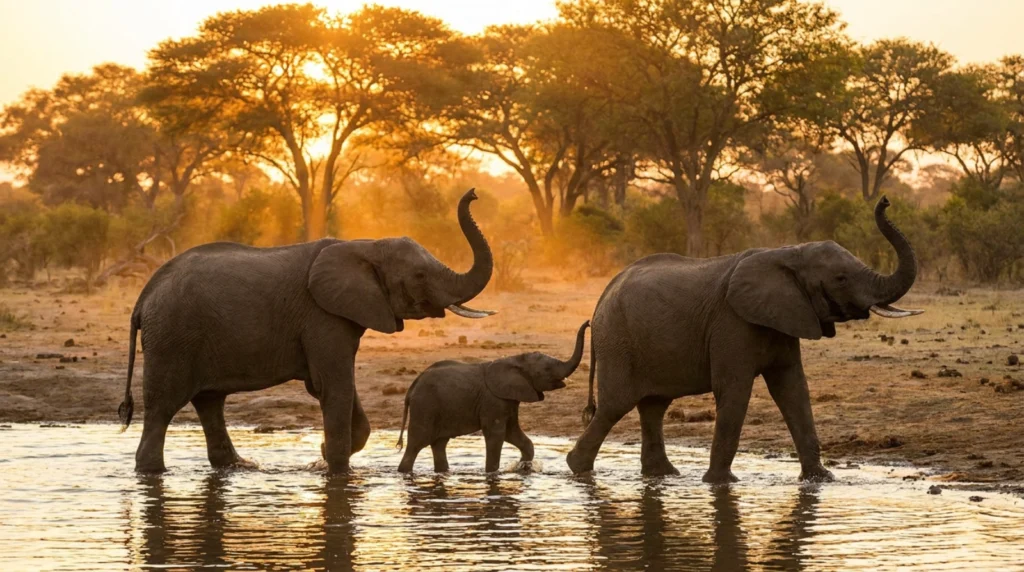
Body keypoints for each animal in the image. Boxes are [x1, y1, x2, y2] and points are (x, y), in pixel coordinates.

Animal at [118, 189, 494, 474]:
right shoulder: (322, 316)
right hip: (171, 338)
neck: (365, 246)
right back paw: (153, 472)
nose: (474, 194)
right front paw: (337, 472)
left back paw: (239, 467)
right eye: (419, 276)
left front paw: (323, 456)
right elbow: (335, 386)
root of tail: (143, 297)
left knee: (210, 403)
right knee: (163, 406)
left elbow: (332, 386)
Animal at [396, 321, 590, 473]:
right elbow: (497, 435)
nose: (588, 323)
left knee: (439, 444)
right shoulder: (494, 400)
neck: (515, 359)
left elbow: (513, 433)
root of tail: (412, 386)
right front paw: (493, 474)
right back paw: (404, 472)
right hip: (424, 406)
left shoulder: (509, 399)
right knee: (416, 444)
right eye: (546, 370)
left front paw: (523, 468)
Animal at [566, 197, 921, 483]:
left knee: (653, 406)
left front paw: (821, 480)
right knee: (615, 405)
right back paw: (578, 469)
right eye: (841, 278)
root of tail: (601, 298)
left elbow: (794, 389)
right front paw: (721, 484)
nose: (885, 200)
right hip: (618, 341)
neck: (789, 252)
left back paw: (662, 475)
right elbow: (735, 391)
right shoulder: (732, 323)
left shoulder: (785, 318)